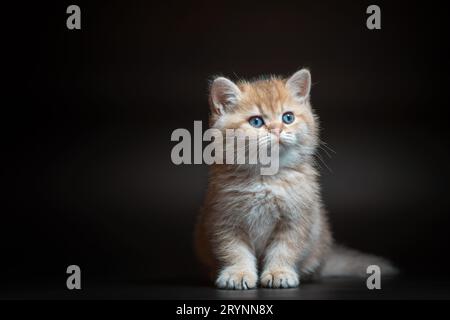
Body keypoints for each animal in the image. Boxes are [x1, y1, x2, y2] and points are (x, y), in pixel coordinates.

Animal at [194, 69, 398, 288]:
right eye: (256, 121)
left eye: (288, 117)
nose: (277, 129)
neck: (267, 179)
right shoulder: (224, 218)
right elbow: (233, 250)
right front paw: (238, 273)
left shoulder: (297, 219)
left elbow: (285, 249)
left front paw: (279, 272)